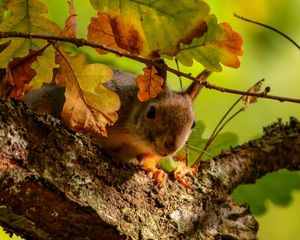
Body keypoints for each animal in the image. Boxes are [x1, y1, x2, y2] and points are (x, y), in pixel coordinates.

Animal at [24, 67, 203, 188]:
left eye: (193, 123)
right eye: (151, 111)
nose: (171, 145)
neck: (132, 137)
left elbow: (149, 158)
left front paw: (155, 171)